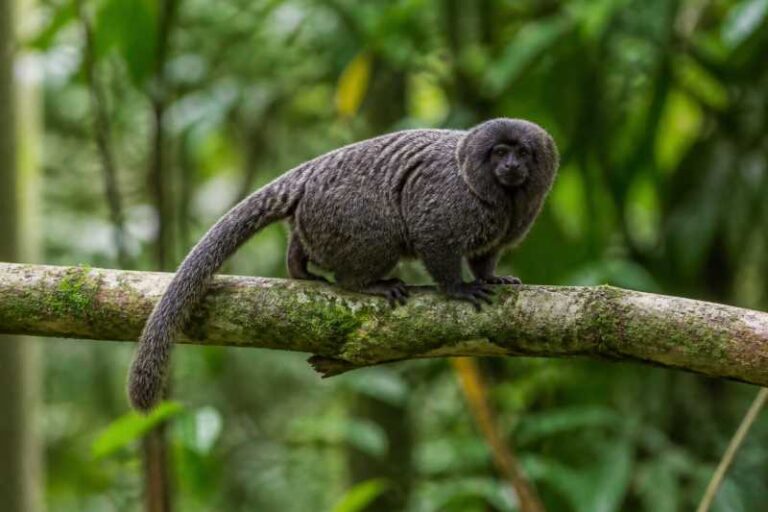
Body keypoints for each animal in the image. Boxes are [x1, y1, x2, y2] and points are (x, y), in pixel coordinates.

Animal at [128, 118, 559, 411]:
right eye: (499, 153)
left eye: (522, 153)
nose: (511, 166)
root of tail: (309, 173)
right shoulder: (453, 198)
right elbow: (433, 237)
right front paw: (460, 289)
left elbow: (486, 254)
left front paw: (492, 276)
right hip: (345, 212)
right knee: (380, 235)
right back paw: (363, 283)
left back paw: (299, 266)